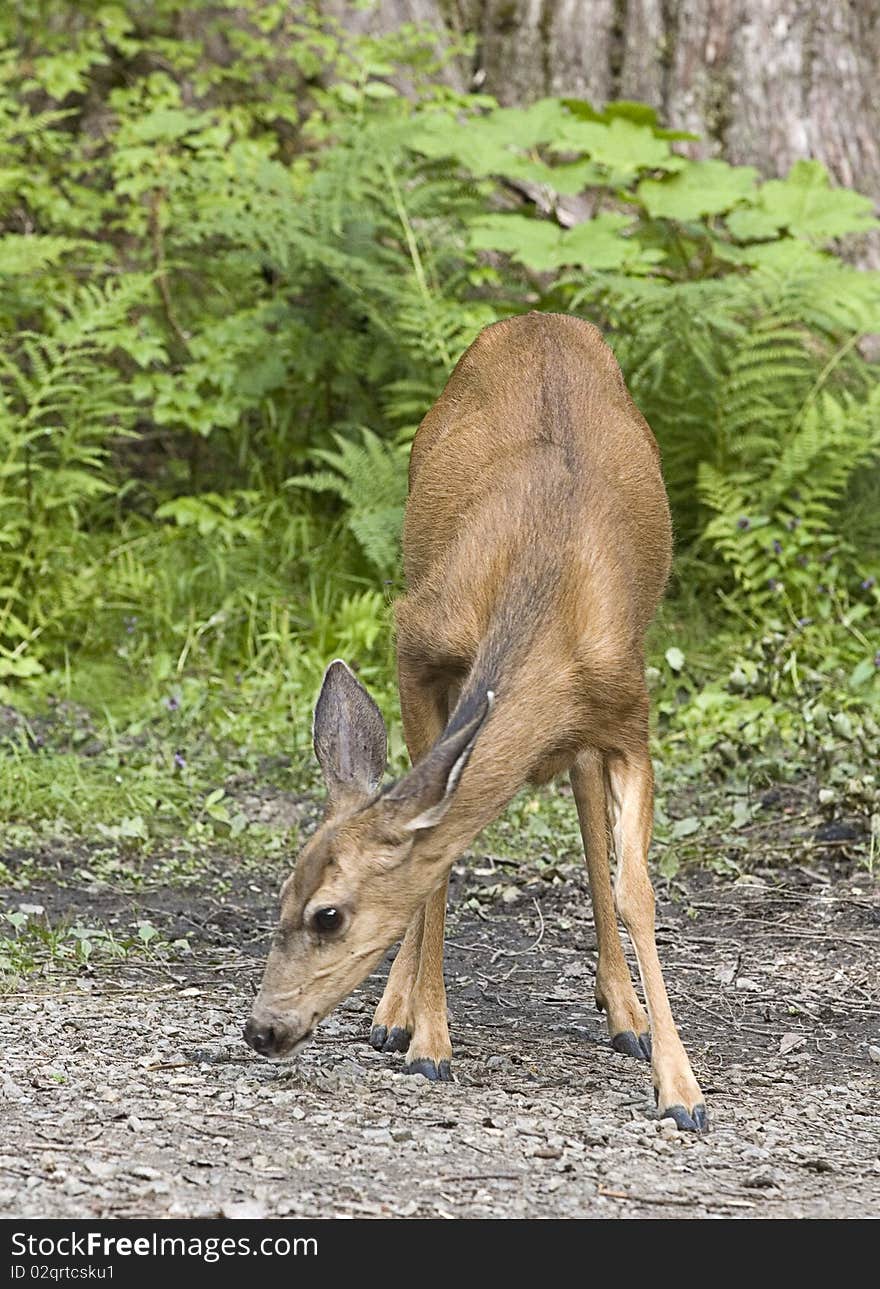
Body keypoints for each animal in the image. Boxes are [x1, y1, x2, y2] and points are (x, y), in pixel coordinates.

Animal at [242, 309, 711, 1129]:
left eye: (327, 915)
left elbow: (637, 889)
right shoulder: (416, 640)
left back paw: (623, 1012)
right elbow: (436, 862)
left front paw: (682, 1089)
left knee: (584, 797)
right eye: (283, 895)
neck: (547, 590)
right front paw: (429, 1039)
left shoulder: (630, 714)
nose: (261, 1028)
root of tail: (540, 317)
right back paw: (394, 1013)